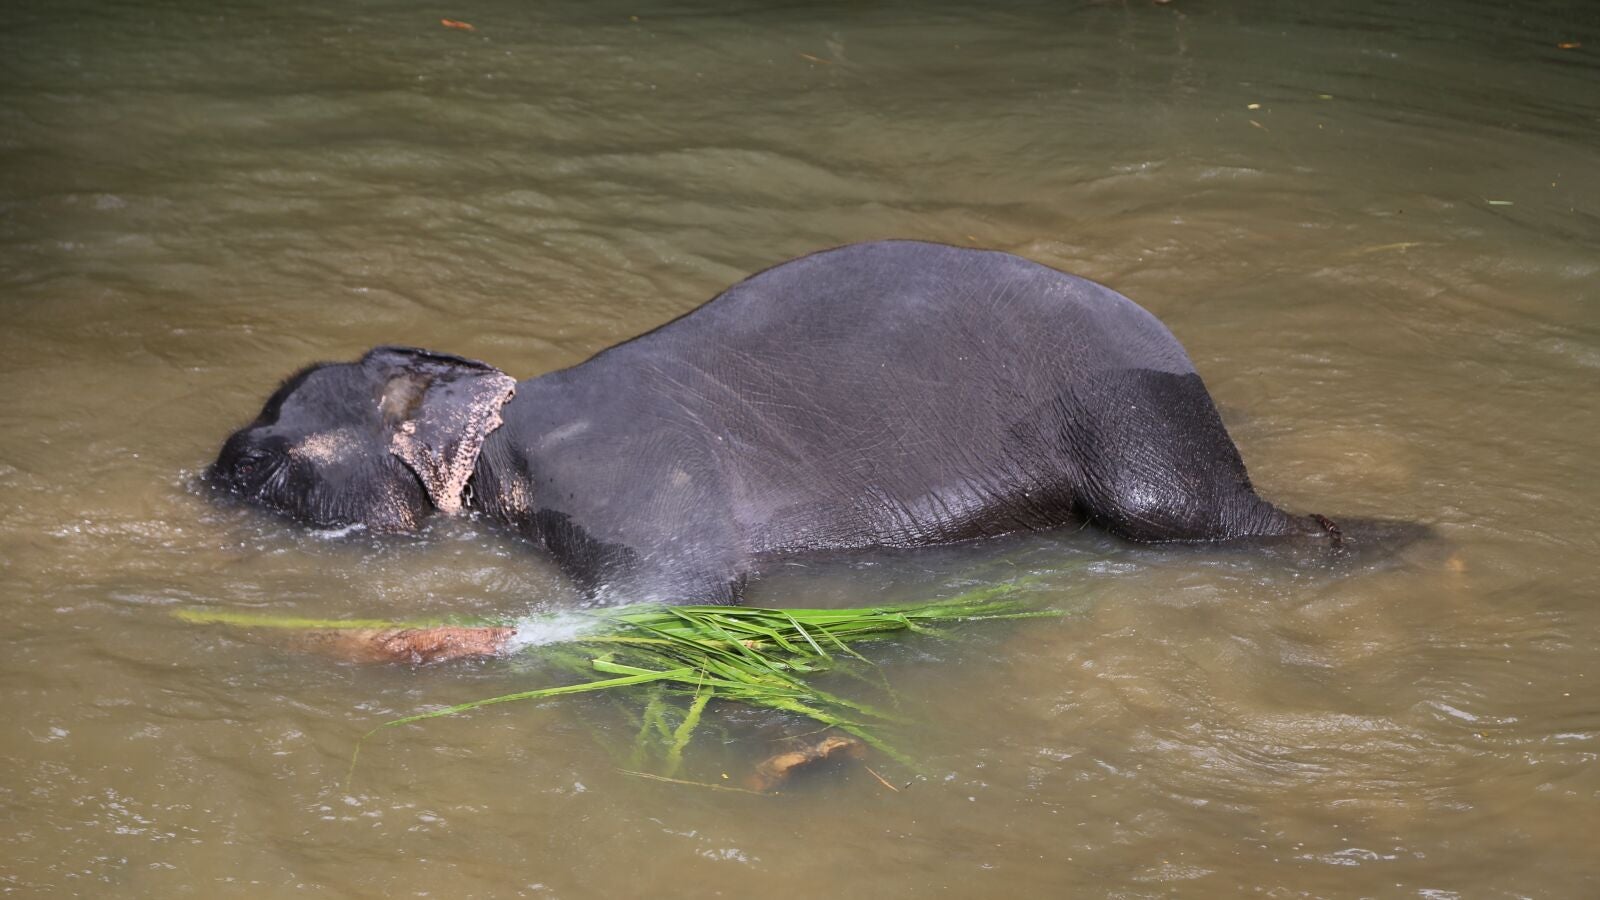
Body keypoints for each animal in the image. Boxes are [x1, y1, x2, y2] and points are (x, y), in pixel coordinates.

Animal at [209, 240, 1354, 605]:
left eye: (273, 467)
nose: (210, 473)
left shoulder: (629, 485)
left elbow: (679, 593)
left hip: (1138, 422)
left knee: (1193, 517)